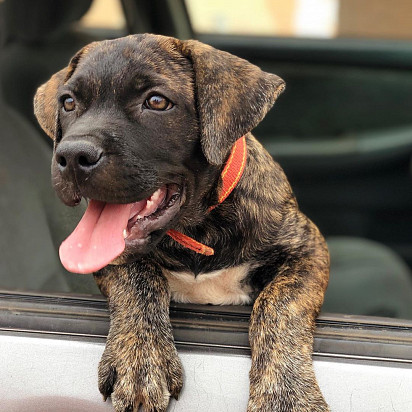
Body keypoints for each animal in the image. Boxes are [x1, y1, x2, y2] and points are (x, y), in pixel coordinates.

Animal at [33, 33, 330, 410]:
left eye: (157, 102)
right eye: (68, 102)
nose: (72, 156)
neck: (198, 230)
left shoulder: (308, 250)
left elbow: (279, 304)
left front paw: (287, 394)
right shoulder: (108, 258)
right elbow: (138, 276)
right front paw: (141, 360)